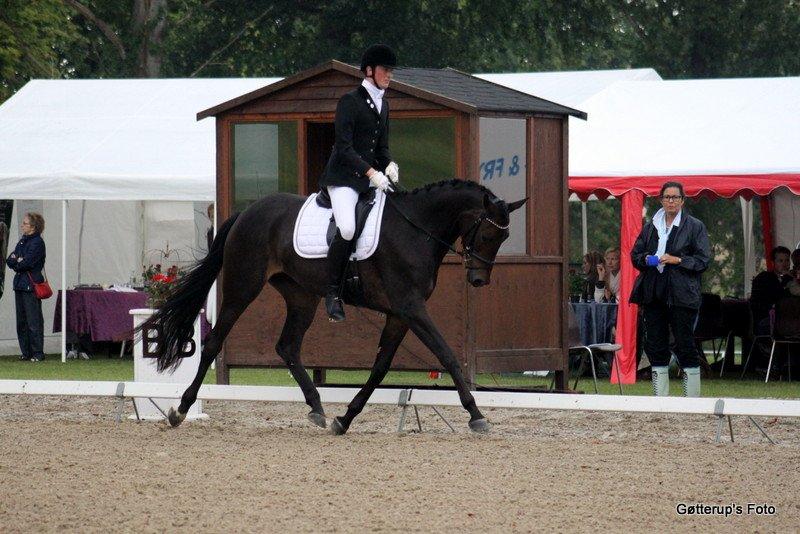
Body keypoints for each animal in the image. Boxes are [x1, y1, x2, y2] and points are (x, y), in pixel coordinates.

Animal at [145, 180, 524, 436]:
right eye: (488, 235)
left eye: (503, 238)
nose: (478, 280)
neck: (416, 229)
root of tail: (246, 212)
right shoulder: (411, 307)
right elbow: (446, 355)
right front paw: (476, 415)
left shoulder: (400, 313)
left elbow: (380, 368)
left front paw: (345, 418)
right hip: (243, 287)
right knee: (213, 342)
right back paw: (180, 410)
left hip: (302, 296)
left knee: (287, 346)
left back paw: (317, 408)